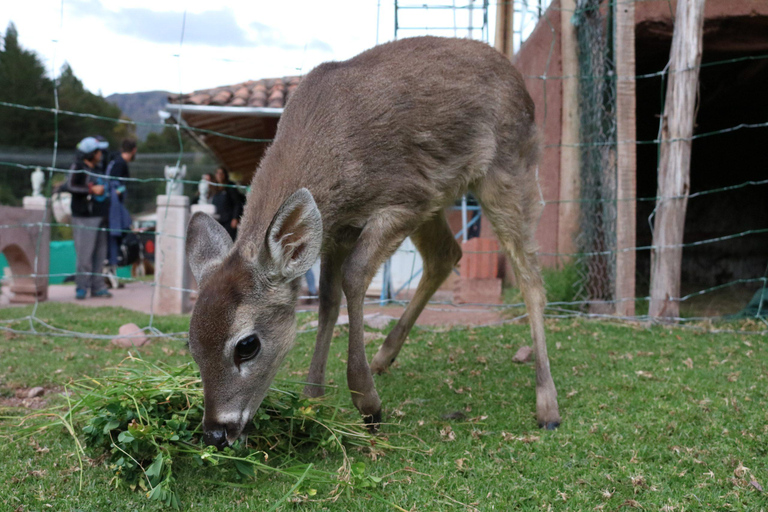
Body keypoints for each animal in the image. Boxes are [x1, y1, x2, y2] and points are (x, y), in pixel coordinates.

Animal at [184, 36, 560, 448]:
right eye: (191, 345)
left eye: (247, 345)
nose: (216, 431)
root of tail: (520, 80)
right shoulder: (338, 229)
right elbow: (327, 300)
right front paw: (312, 398)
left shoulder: (404, 199)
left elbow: (355, 275)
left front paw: (368, 405)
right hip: (440, 196)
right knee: (447, 254)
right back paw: (384, 357)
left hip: (507, 168)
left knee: (531, 278)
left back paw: (547, 405)